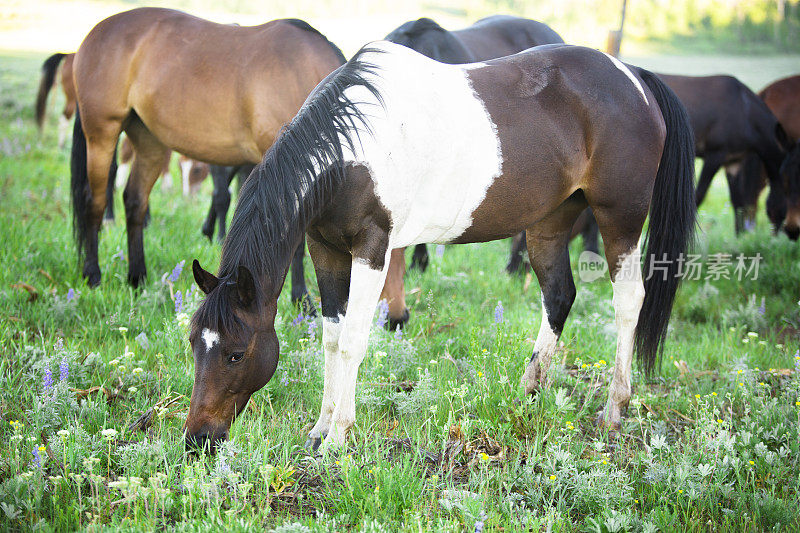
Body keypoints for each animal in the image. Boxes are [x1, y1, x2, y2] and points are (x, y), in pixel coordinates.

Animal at [186, 40, 692, 448]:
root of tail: (634, 77)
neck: (352, 150)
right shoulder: (323, 248)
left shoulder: (372, 248)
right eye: (194, 343)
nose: (198, 439)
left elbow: (353, 341)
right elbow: (331, 337)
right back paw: (529, 392)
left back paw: (613, 411)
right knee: (558, 295)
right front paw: (319, 429)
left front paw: (338, 436)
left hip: (619, 217)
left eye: (235, 353)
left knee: (629, 302)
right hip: (550, 222)